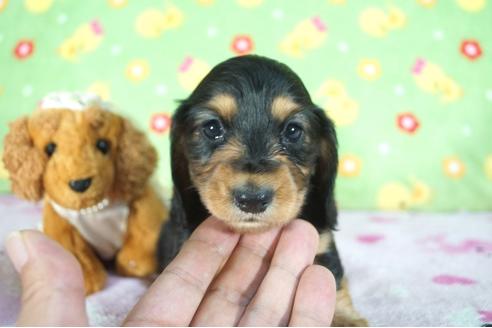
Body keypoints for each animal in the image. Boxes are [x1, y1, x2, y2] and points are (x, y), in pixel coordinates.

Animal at [157, 54, 366, 326]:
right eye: (212, 128)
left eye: (293, 130)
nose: (253, 200)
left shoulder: (322, 242)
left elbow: (332, 278)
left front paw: (343, 318)